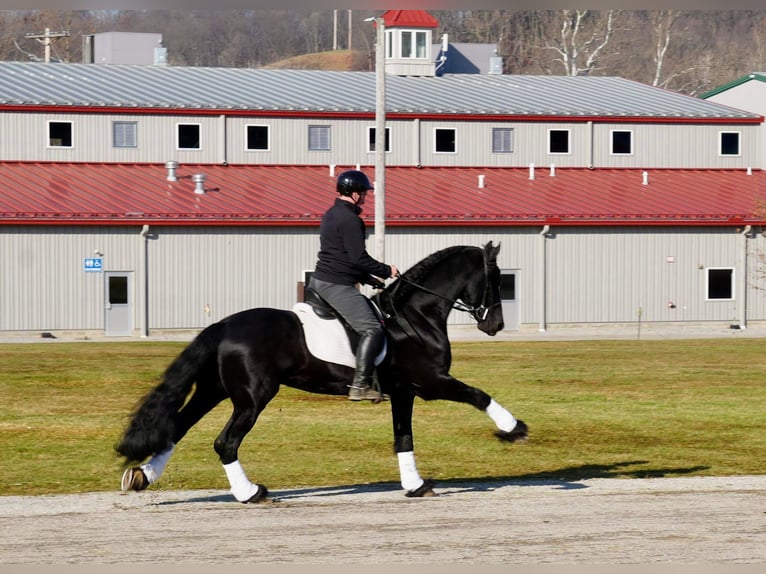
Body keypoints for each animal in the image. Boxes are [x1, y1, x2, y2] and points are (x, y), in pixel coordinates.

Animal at [117, 241, 532, 502]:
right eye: (496, 279)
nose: (495, 324)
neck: (416, 315)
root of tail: (222, 326)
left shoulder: (404, 392)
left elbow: (403, 438)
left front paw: (414, 485)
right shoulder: (429, 382)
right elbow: (478, 395)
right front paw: (514, 429)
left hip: (214, 390)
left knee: (176, 428)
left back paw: (142, 476)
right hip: (252, 399)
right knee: (225, 443)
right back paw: (250, 494)